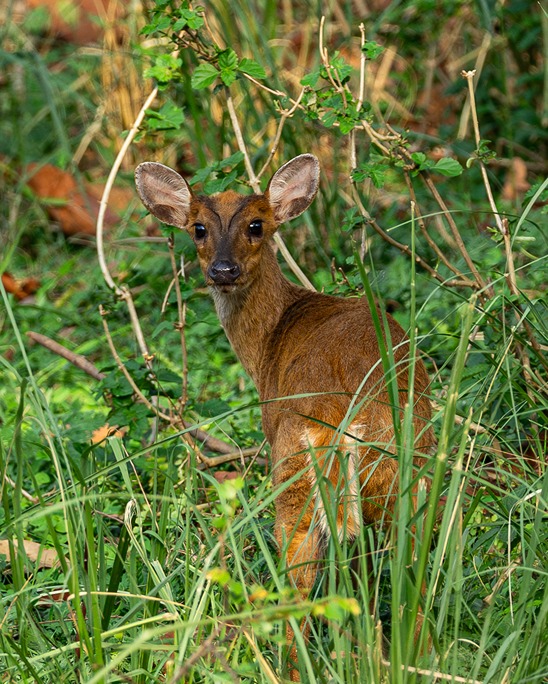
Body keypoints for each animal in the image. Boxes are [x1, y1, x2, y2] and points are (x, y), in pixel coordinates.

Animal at [135, 154, 434, 680]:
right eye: (198, 228)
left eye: (257, 225)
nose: (223, 269)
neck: (272, 335)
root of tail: (348, 417)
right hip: (409, 474)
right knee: (413, 577)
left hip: (294, 474)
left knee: (297, 593)